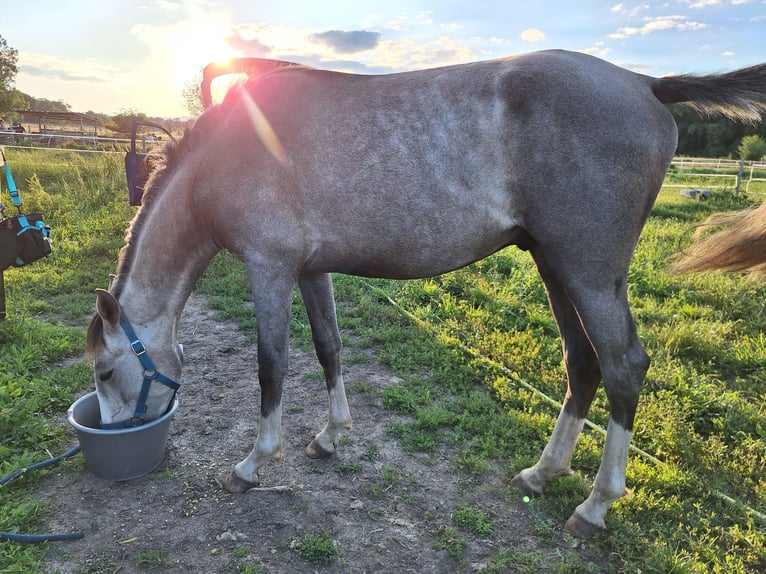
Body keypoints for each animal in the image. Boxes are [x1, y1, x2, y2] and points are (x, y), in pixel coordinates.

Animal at [85, 50, 766, 540]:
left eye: (105, 371)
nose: (120, 432)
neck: (225, 156)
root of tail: (644, 82)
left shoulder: (268, 268)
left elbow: (272, 368)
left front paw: (253, 465)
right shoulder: (309, 270)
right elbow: (329, 347)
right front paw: (330, 436)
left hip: (590, 274)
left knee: (624, 366)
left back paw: (596, 506)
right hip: (556, 265)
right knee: (583, 363)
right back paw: (543, 473)